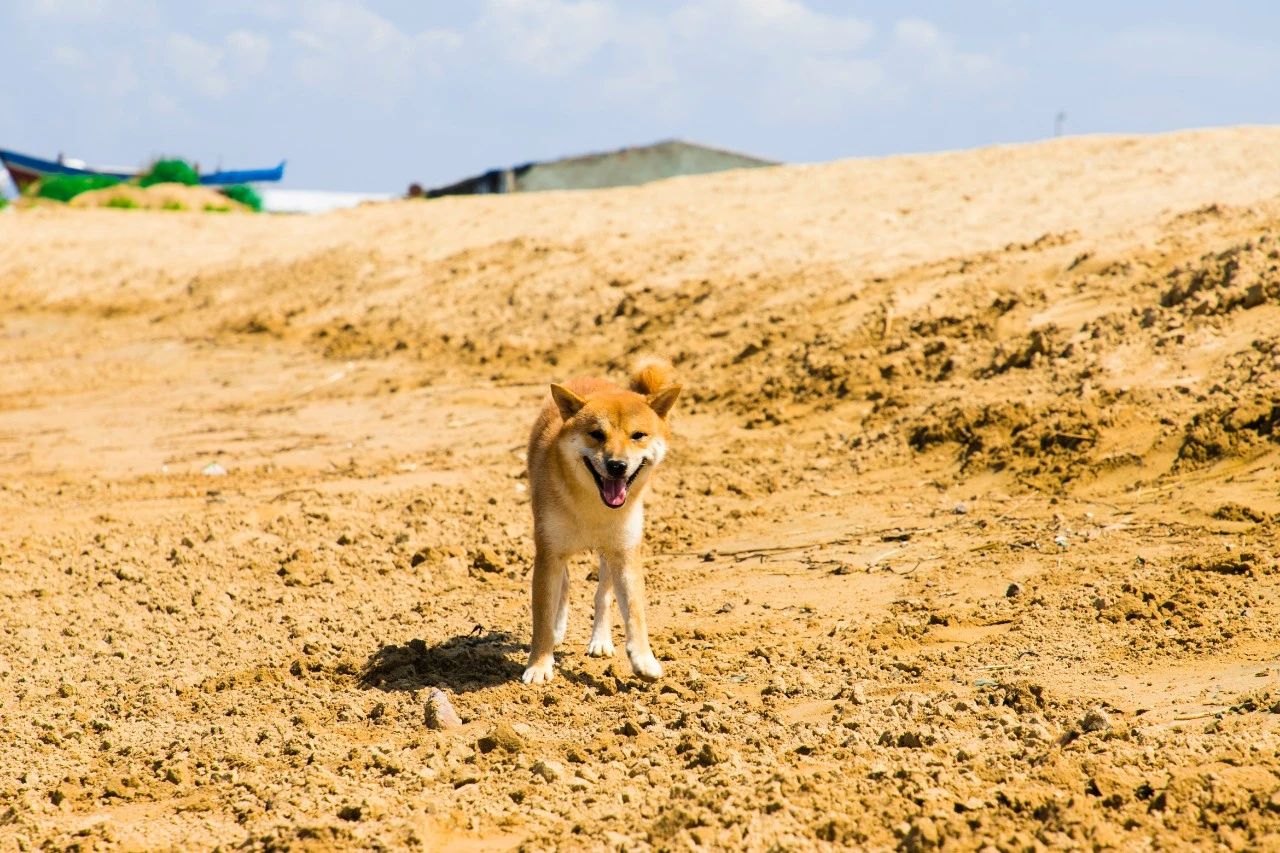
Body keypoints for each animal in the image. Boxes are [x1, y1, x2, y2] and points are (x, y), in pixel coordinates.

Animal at [519, 356, 680, 681]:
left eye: (638, 435)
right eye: (597, 434)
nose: (617, 465)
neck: (593, 506)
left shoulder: (626, 554)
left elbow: (634, 612)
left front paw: (643, 660)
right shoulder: (549, 553)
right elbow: (542, 617)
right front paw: (539, 665)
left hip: (609, 554)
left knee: (602, 596)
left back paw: (601, 641)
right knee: (564, 587)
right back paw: (558, 631)